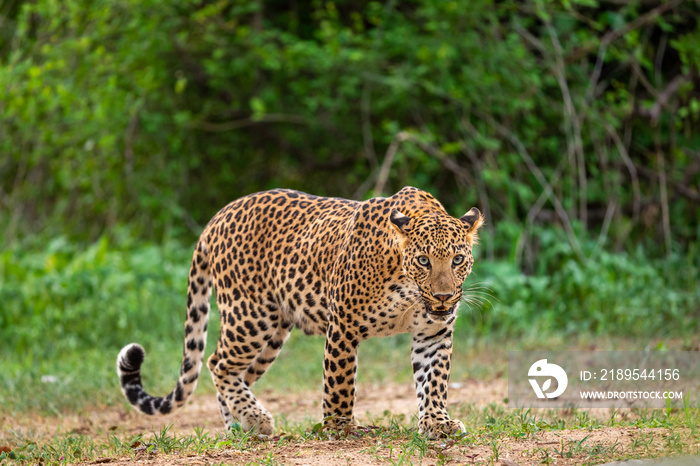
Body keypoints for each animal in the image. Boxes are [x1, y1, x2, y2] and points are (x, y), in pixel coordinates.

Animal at [117, 185, 484, 436]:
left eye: (458, 259)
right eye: (423, 260)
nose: (443, 297)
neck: (407, 289)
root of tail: (217, 218)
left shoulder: (433, 332)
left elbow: (434, 381)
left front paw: (437, 423)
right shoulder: (343, 326)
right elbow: (340, 382)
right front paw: (339, 427)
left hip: (272, 335)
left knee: (236, 374)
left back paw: (239, 426)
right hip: (250, 316)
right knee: (217, 363)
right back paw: (255, 419)